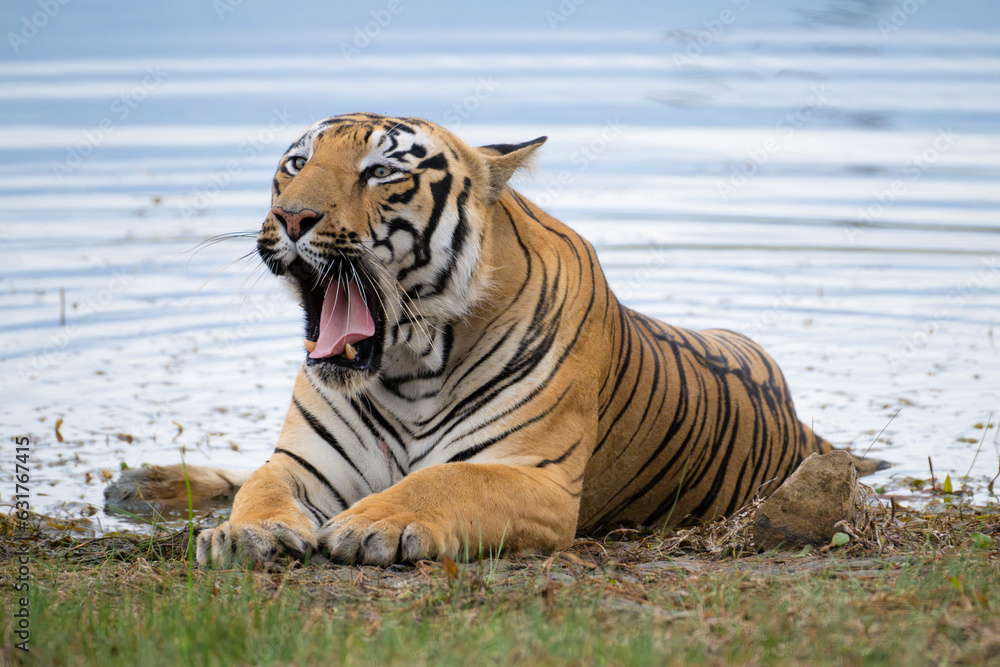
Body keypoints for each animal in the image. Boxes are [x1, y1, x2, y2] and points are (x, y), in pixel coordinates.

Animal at [105, 112, 883, 567]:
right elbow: (261, 485)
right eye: (297, 163)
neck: (408, 365)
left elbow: (447, 476)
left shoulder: (536, 474)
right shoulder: (306, 462)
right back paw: (141, 483)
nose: (291, 218)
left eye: (381, 171)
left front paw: (371, 524)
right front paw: (246, 534)